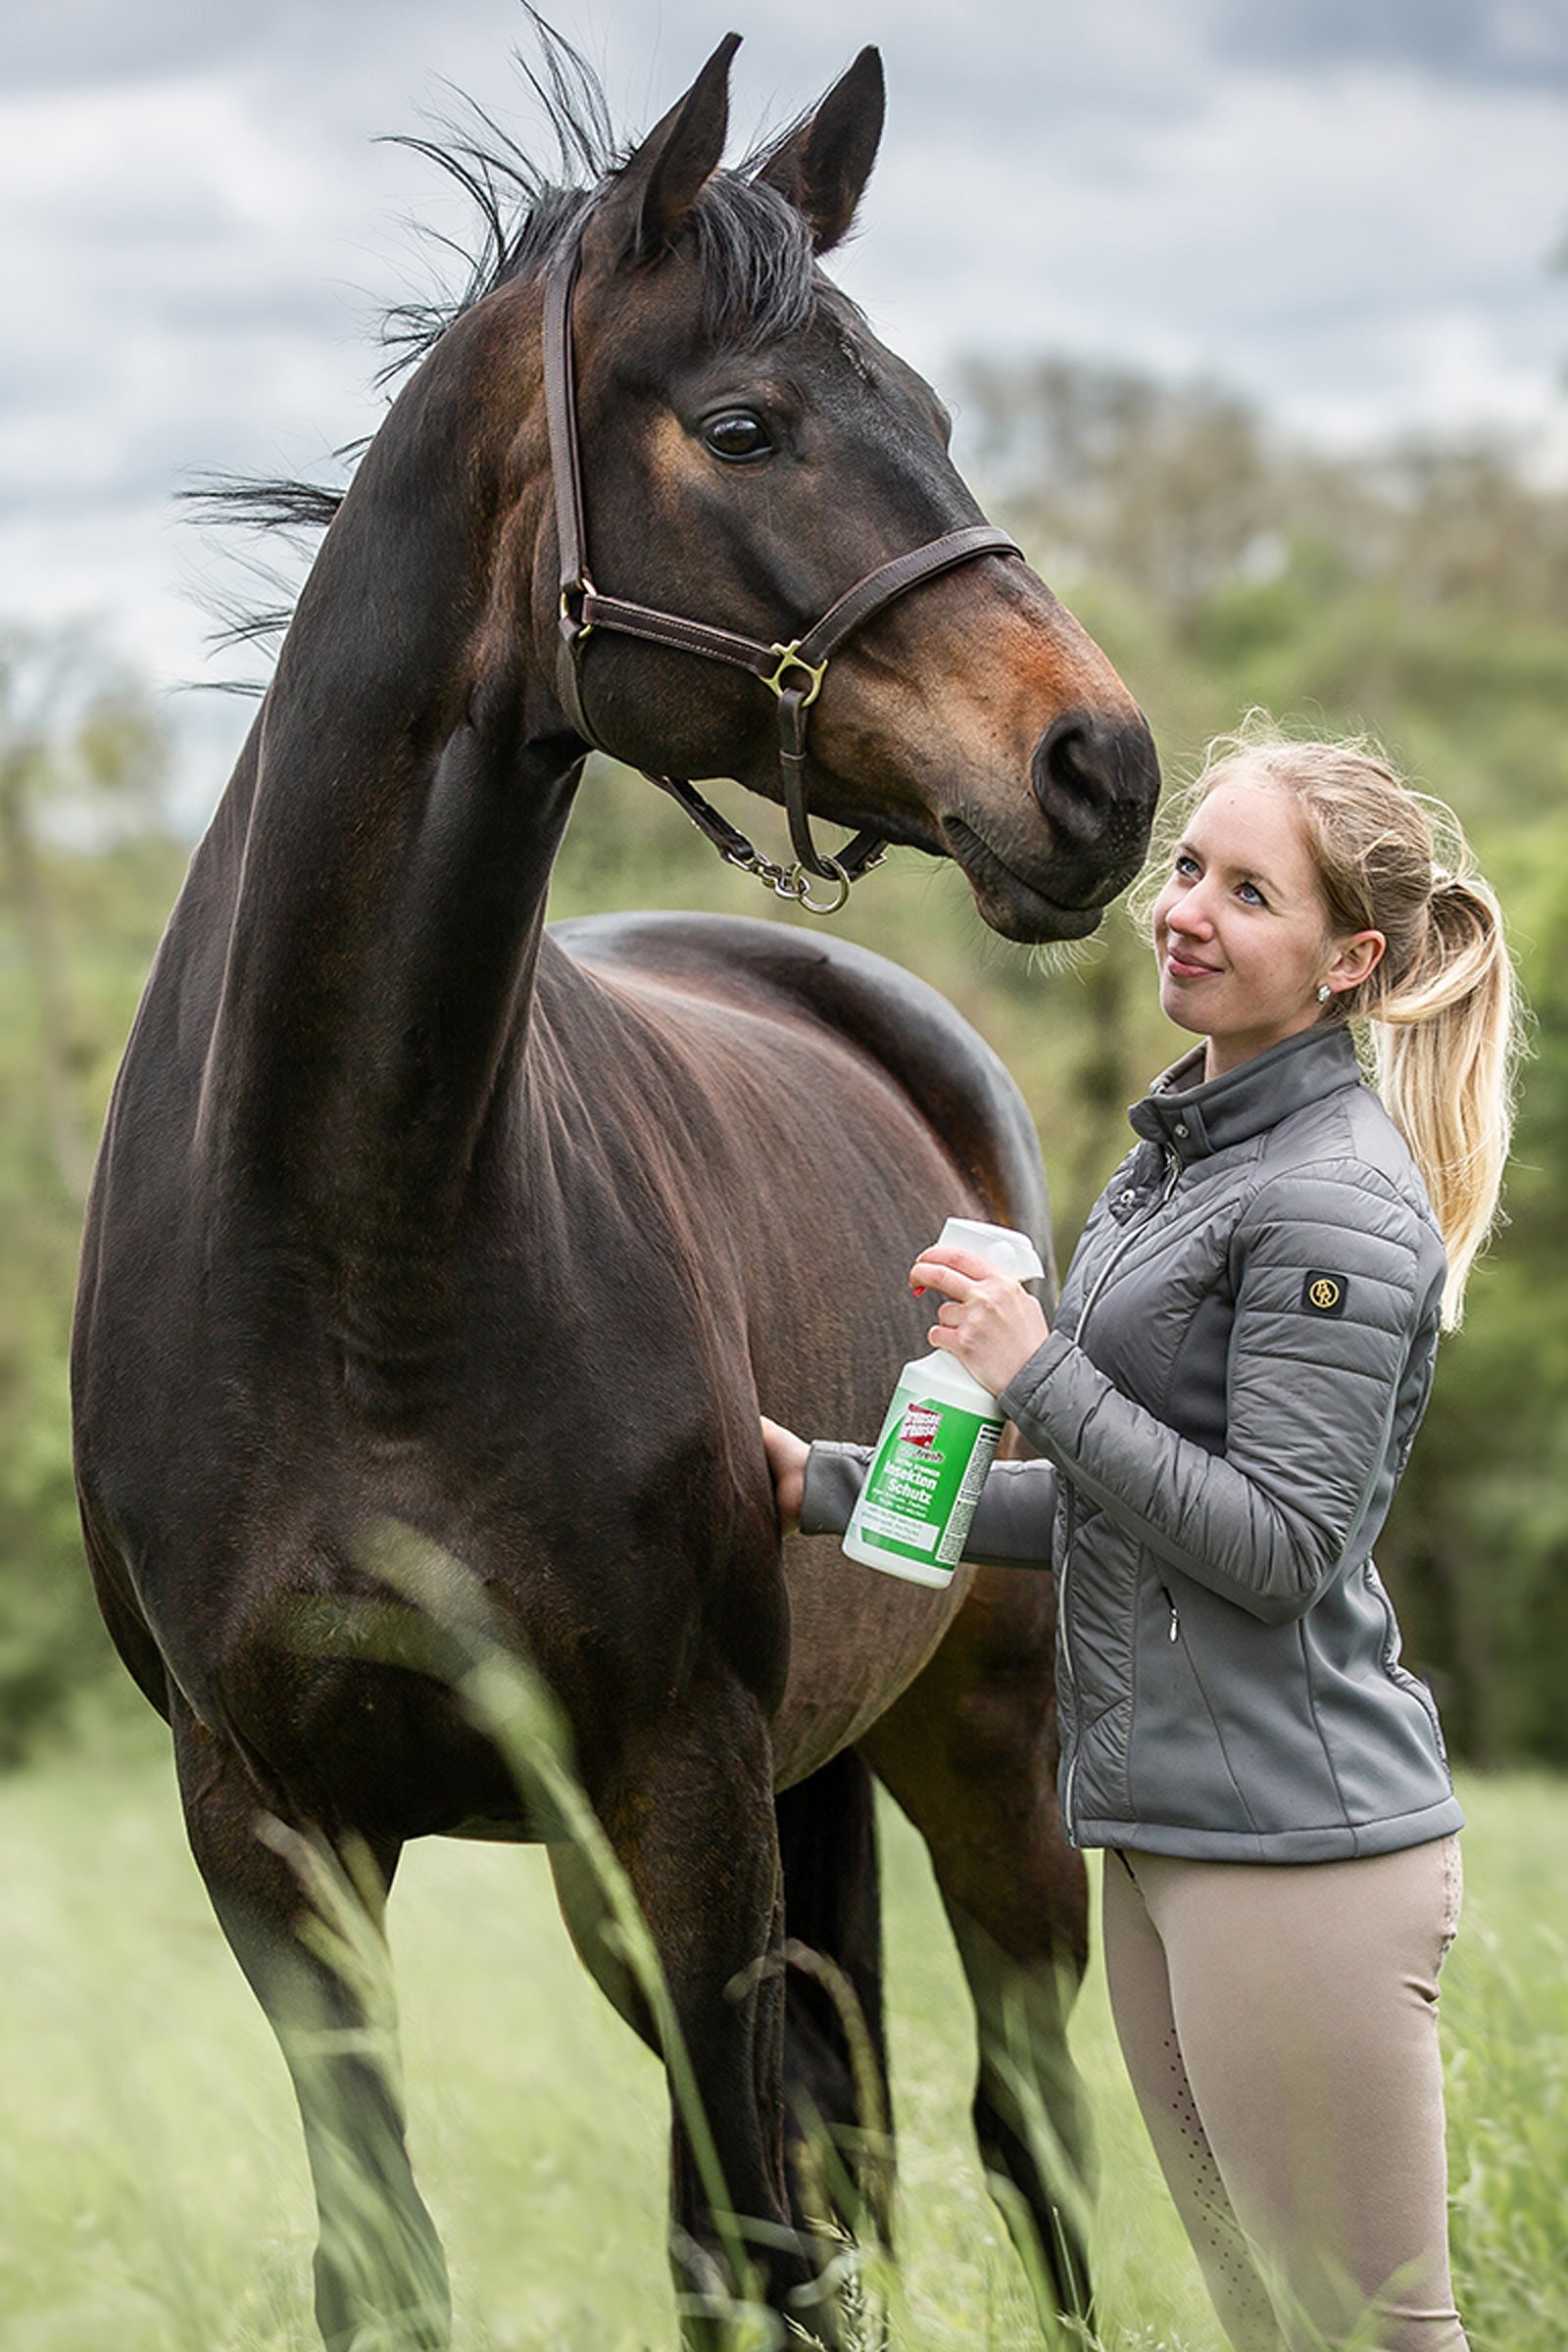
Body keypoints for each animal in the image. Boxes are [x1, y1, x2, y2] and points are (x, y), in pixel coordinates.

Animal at [70, 31, 1159, 2350]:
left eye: (933, 412)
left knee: (1024, 2145)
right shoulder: (275, 1838)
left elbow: (736, 2246)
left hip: (980, 1759)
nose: (1098, 774)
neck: (358, 1246)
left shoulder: (676, 1809)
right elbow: (391, 2260)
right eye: (742, 426)